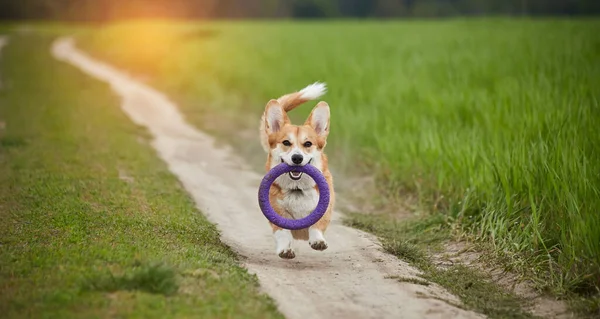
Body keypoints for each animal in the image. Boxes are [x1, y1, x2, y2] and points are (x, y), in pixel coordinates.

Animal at [258, 82, 332, 260]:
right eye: (286, 142)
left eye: (308, 144)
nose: (297, 158)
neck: (297, 189)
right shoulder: (277, 215)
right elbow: (283, 233)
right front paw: (285, 249)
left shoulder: (324, 209)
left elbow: (317, 224)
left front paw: (318, 241)